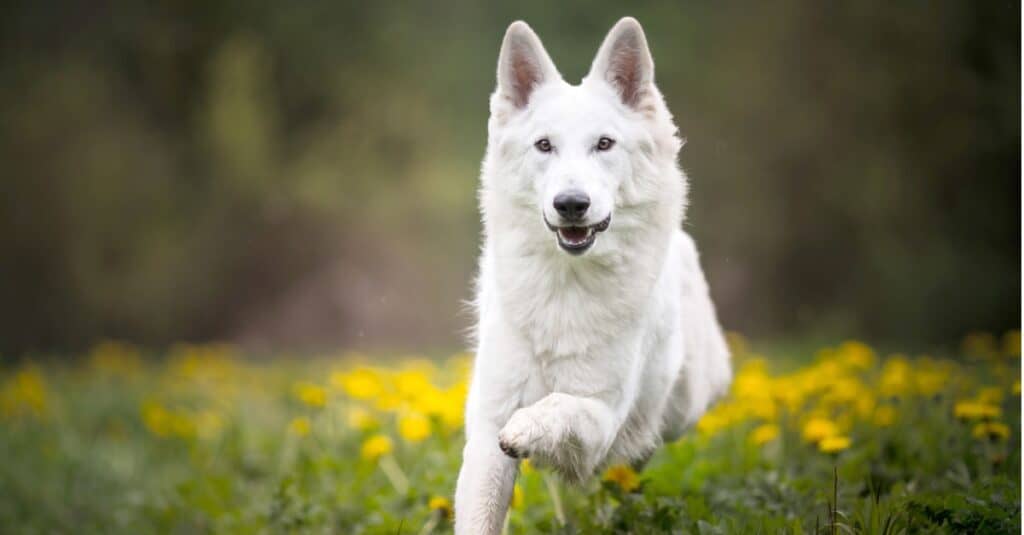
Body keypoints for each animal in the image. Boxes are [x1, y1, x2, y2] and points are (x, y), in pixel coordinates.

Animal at [454, 17, 729, 532]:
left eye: (604, 144)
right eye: (544, 145)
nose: (571, 204)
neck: (565, 285)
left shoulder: (602, 415)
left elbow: (560, 405)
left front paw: (527, 426)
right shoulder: (486, 426)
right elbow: (481, 512)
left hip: (683, 406)